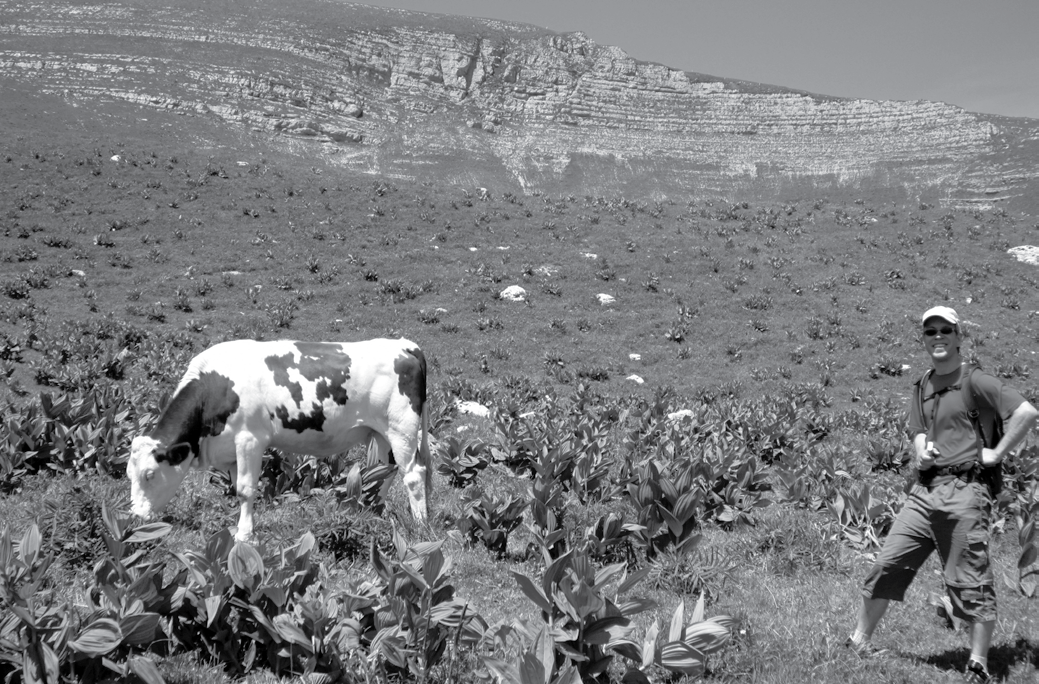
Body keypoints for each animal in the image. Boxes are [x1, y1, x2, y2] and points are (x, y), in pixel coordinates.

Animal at [128, 334, 430, 536]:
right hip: (380, 433)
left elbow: (246, 489)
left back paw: (420, 525)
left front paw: (244, 536)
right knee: (385, 471)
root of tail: (406, 345)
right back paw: (370, 511)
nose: (136, 515)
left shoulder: (250, 439)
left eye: (150, 475)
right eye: (129, 474)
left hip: (401, 428)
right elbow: (238, 487)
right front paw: (242, 527)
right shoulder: (230, 450)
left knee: (414, 475)